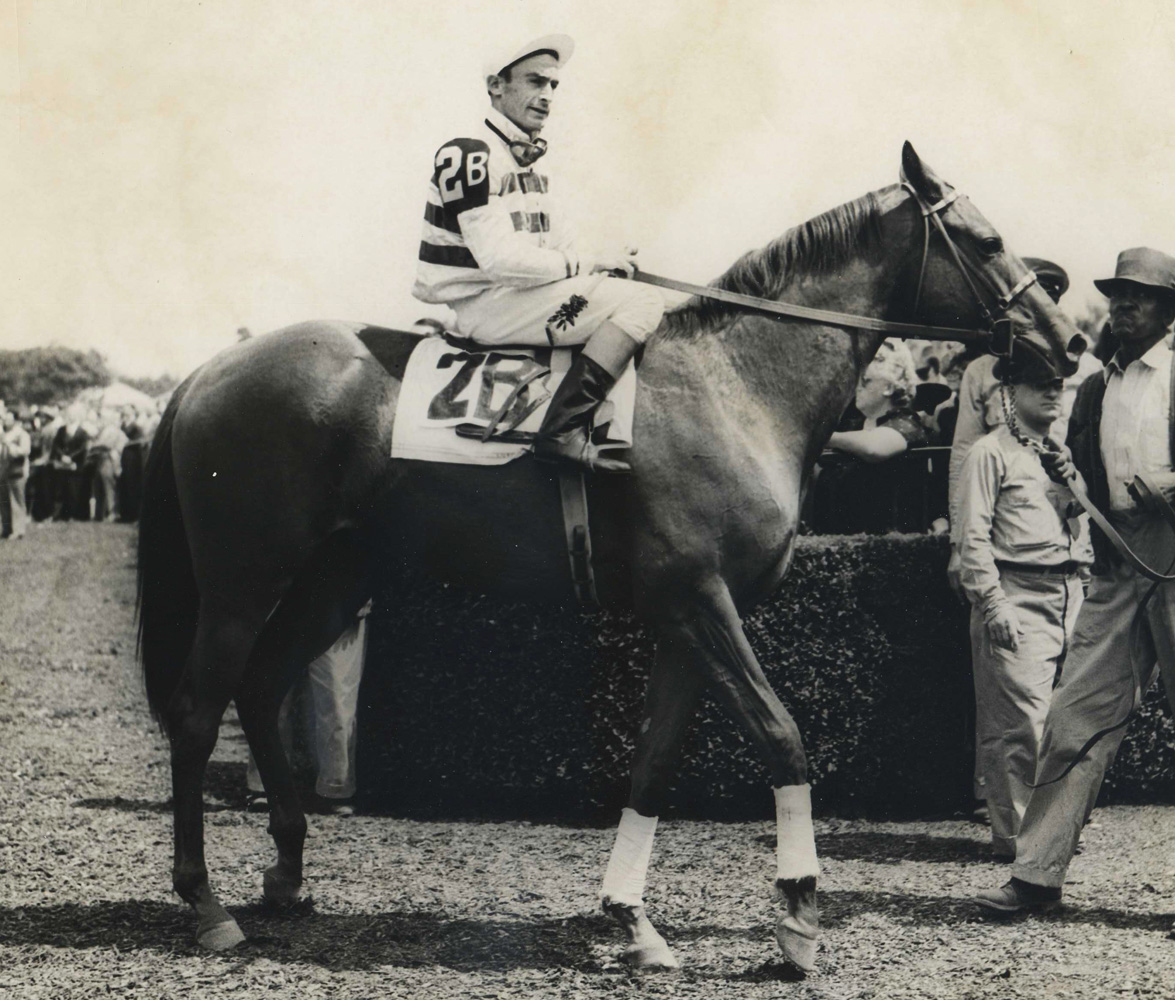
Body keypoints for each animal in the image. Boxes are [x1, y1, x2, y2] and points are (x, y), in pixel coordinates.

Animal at [137, 144, 1081, 972]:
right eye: (986, 241)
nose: (1067, 341)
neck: (733, 384)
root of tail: (208, 371)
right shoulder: (699, 600)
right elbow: (782, 736)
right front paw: (797, 918)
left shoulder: (684, 618)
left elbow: (653, 765)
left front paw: (632, 920)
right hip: (241, 578)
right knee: (196, 708)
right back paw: (207, 905)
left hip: (333, 577)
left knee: (260, 685)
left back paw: (287, 877)